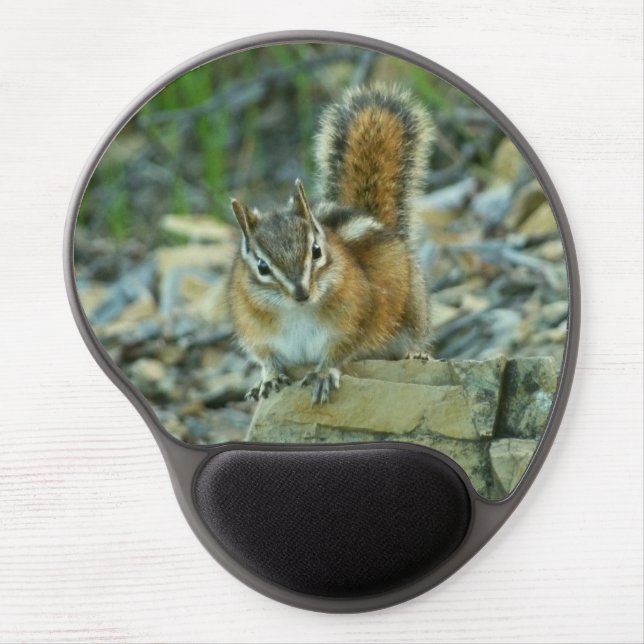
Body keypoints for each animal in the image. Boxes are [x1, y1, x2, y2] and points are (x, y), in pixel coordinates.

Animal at [228, 84, 434, 404]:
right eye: (262, 266)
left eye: (316, 251)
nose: (301, 293)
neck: (296, 312)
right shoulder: (255, 332)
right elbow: (266, 358)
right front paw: (268, 378)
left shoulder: (354, 321)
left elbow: (339, 351)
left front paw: (323, 373)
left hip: (413, 312)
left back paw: (416, 355)